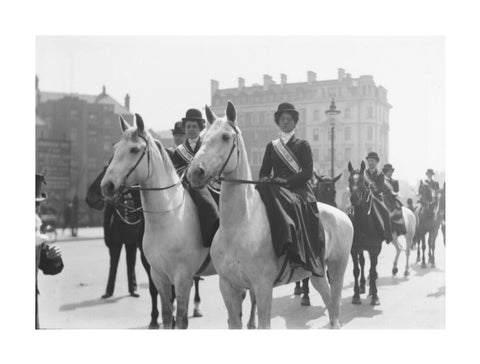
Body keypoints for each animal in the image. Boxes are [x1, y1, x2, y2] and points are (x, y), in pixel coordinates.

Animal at [101, 114, 256, 330]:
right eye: (115, 148)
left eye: (134, 149)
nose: (106, 186)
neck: (167, 218)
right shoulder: (159, 276)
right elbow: (167, 316)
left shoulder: (182, 278)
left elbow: (181, 320)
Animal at [346, 162, 384, 304]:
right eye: (349, 180)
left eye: (363, 181)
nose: (354, 198)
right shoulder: (354, 249)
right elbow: (356, 270)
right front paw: (356, 295)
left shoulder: (374, 249)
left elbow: (372, 271)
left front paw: (375, 296)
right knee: (362, 262)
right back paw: (362, 286)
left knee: (372, 267)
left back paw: (372, 289)